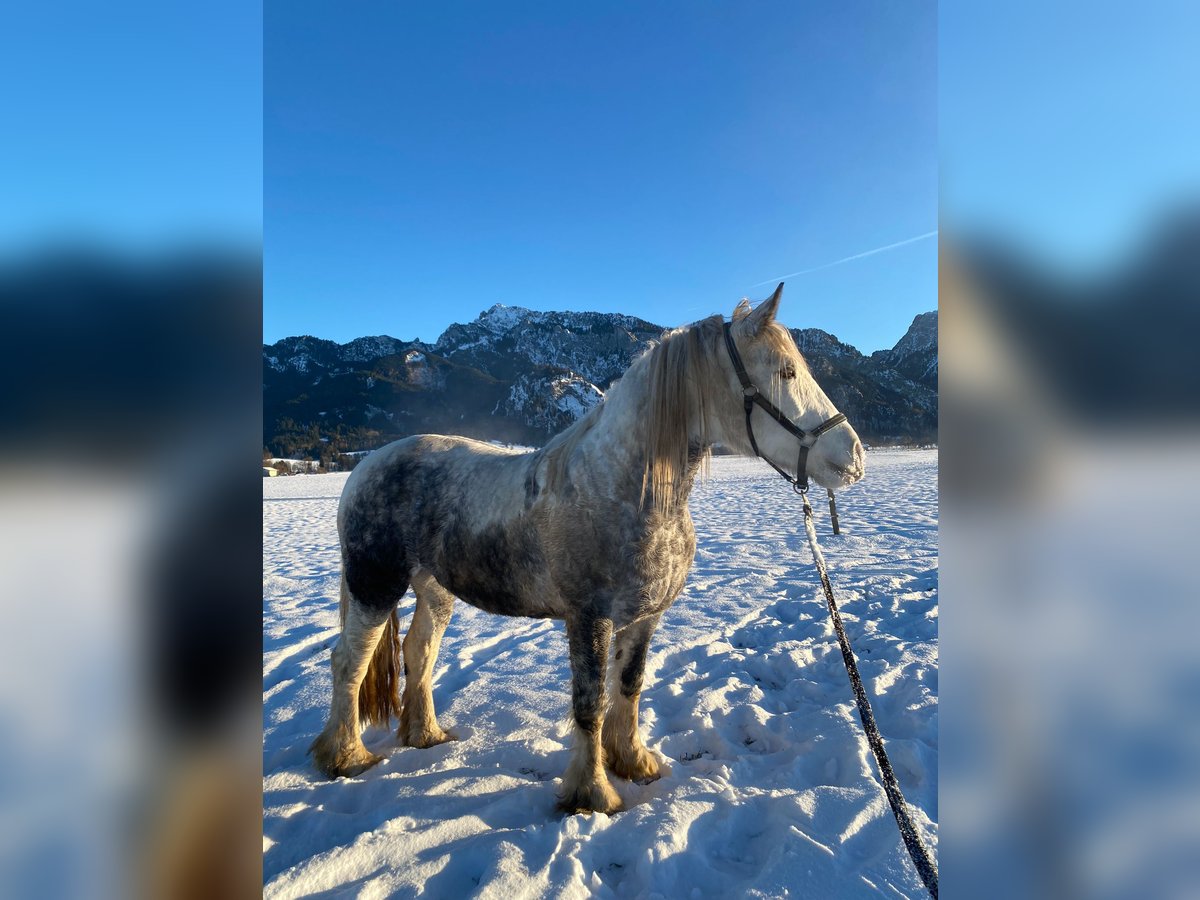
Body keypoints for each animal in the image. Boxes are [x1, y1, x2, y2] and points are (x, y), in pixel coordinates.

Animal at [312, 286, 864, 816]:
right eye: (786, 371)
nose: (854, 457)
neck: (622, 488)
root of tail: (367, 466)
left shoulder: (645, 618)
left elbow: (630, 685)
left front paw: (634, 763)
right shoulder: (588, 618)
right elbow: (590, 703)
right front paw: (592, 794)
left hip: (435, 590)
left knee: (419, 652)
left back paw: (425, 735)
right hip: (375, 586)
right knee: (349, 662)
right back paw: (346, 756)